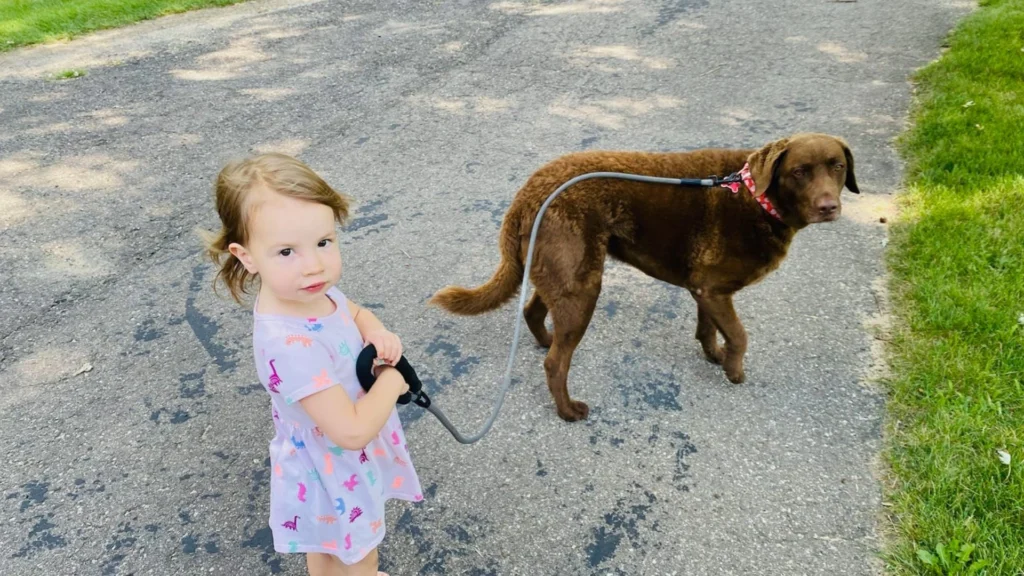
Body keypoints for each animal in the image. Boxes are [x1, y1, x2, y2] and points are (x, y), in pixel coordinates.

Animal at [428, 132, 860, 420]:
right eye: (800, 171)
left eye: (837, 167)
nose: (829, 207)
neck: (754, 194)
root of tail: (526, 195)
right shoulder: (714, 290)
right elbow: (739, 335)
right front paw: (734, 371)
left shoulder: (706, 289)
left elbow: (708, 328)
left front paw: (713, 356)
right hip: (582, 286)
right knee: (555, 363)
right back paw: (568, 410)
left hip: (561, 275)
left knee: (534, 313)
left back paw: (546, 339)